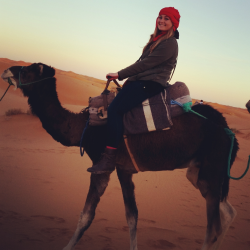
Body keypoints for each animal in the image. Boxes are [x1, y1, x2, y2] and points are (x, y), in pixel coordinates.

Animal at [0, 62, 239, 250]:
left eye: (28, 69)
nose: (5, 71)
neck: (84, 127)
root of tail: (229, 132)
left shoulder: (101, 166)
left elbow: (86, 216)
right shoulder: (124, 168)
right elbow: (132, 217)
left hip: (212, 166)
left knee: (213, 228)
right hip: (199, 172)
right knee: (227, 211)